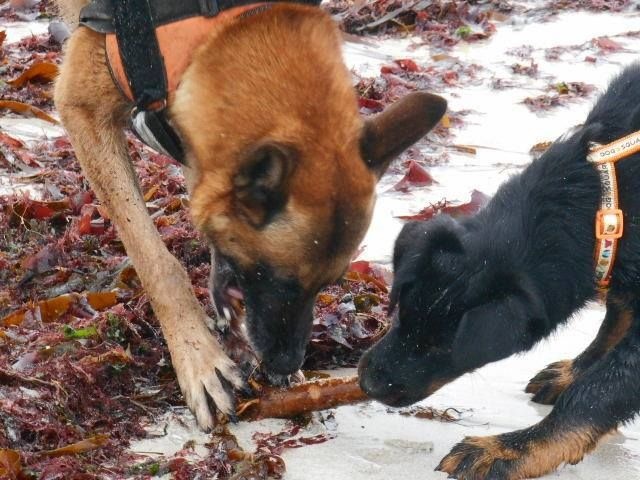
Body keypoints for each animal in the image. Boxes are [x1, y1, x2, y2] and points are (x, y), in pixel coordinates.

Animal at [53, 0, 444, 428]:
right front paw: (199, 357)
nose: (283, 366)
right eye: (277, 280)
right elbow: (157, 261)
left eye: (326, 285)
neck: (221, 28)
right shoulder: (83, 110)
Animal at [360, 62, 640, 478]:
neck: (605, 190)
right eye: (401, 315)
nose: (366, 383)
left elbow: (600, 389)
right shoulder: (619, 256)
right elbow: (613, 325)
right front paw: (574, 371)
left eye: (443, 346)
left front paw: (511, 450)